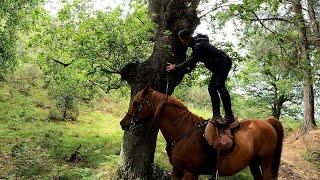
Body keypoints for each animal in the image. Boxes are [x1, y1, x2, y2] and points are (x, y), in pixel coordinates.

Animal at [119, 86, 282, 179]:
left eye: (136, 103)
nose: (123, 123)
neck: (183, 133)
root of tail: (268, 123)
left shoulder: (190, 173)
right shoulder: (176, 171)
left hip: (265, 162)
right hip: (254, 163)